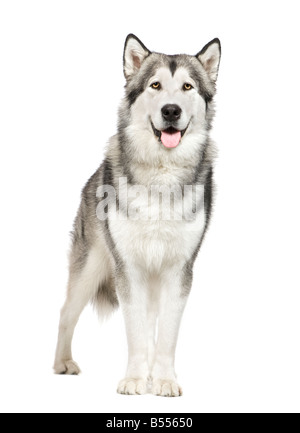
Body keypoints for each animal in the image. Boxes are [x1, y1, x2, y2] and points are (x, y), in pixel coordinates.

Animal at [54, 33, 221, 396]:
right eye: (155, 85)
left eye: (187, 87)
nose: (170, 110)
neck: (162, 174)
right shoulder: (128, 269)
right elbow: (135, 332)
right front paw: (134, 379)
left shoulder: (178, 271)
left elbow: (166, 335)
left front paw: (164, 380)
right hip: (90, 270)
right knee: (66, 313)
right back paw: (62, 363)